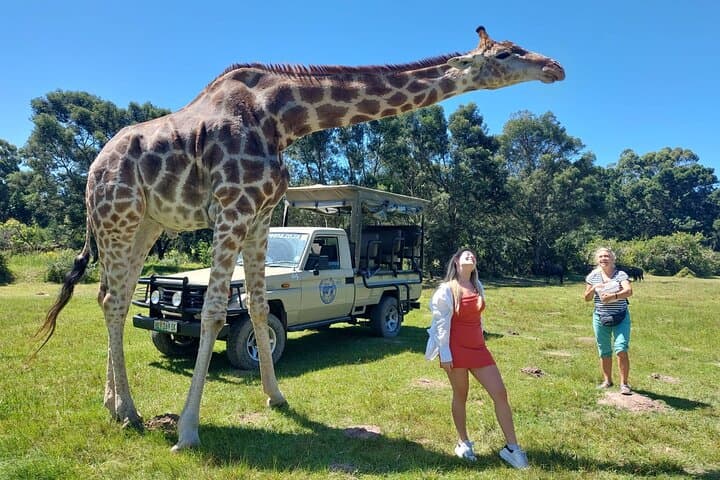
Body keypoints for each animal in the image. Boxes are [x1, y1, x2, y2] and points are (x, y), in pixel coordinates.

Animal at [38, 26, 564, 451]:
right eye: (505, 53)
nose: (554, 67)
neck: (283, 120)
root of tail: (91, 173)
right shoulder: (231, 209)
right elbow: (212, 312)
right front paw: (187, 431)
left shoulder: (260, 215)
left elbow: (253, 305)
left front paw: (277, 397)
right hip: (119, 217)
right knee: (113, 299)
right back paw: (128, 412)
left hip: (144, 225)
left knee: (112, 296)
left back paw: (115, 407)